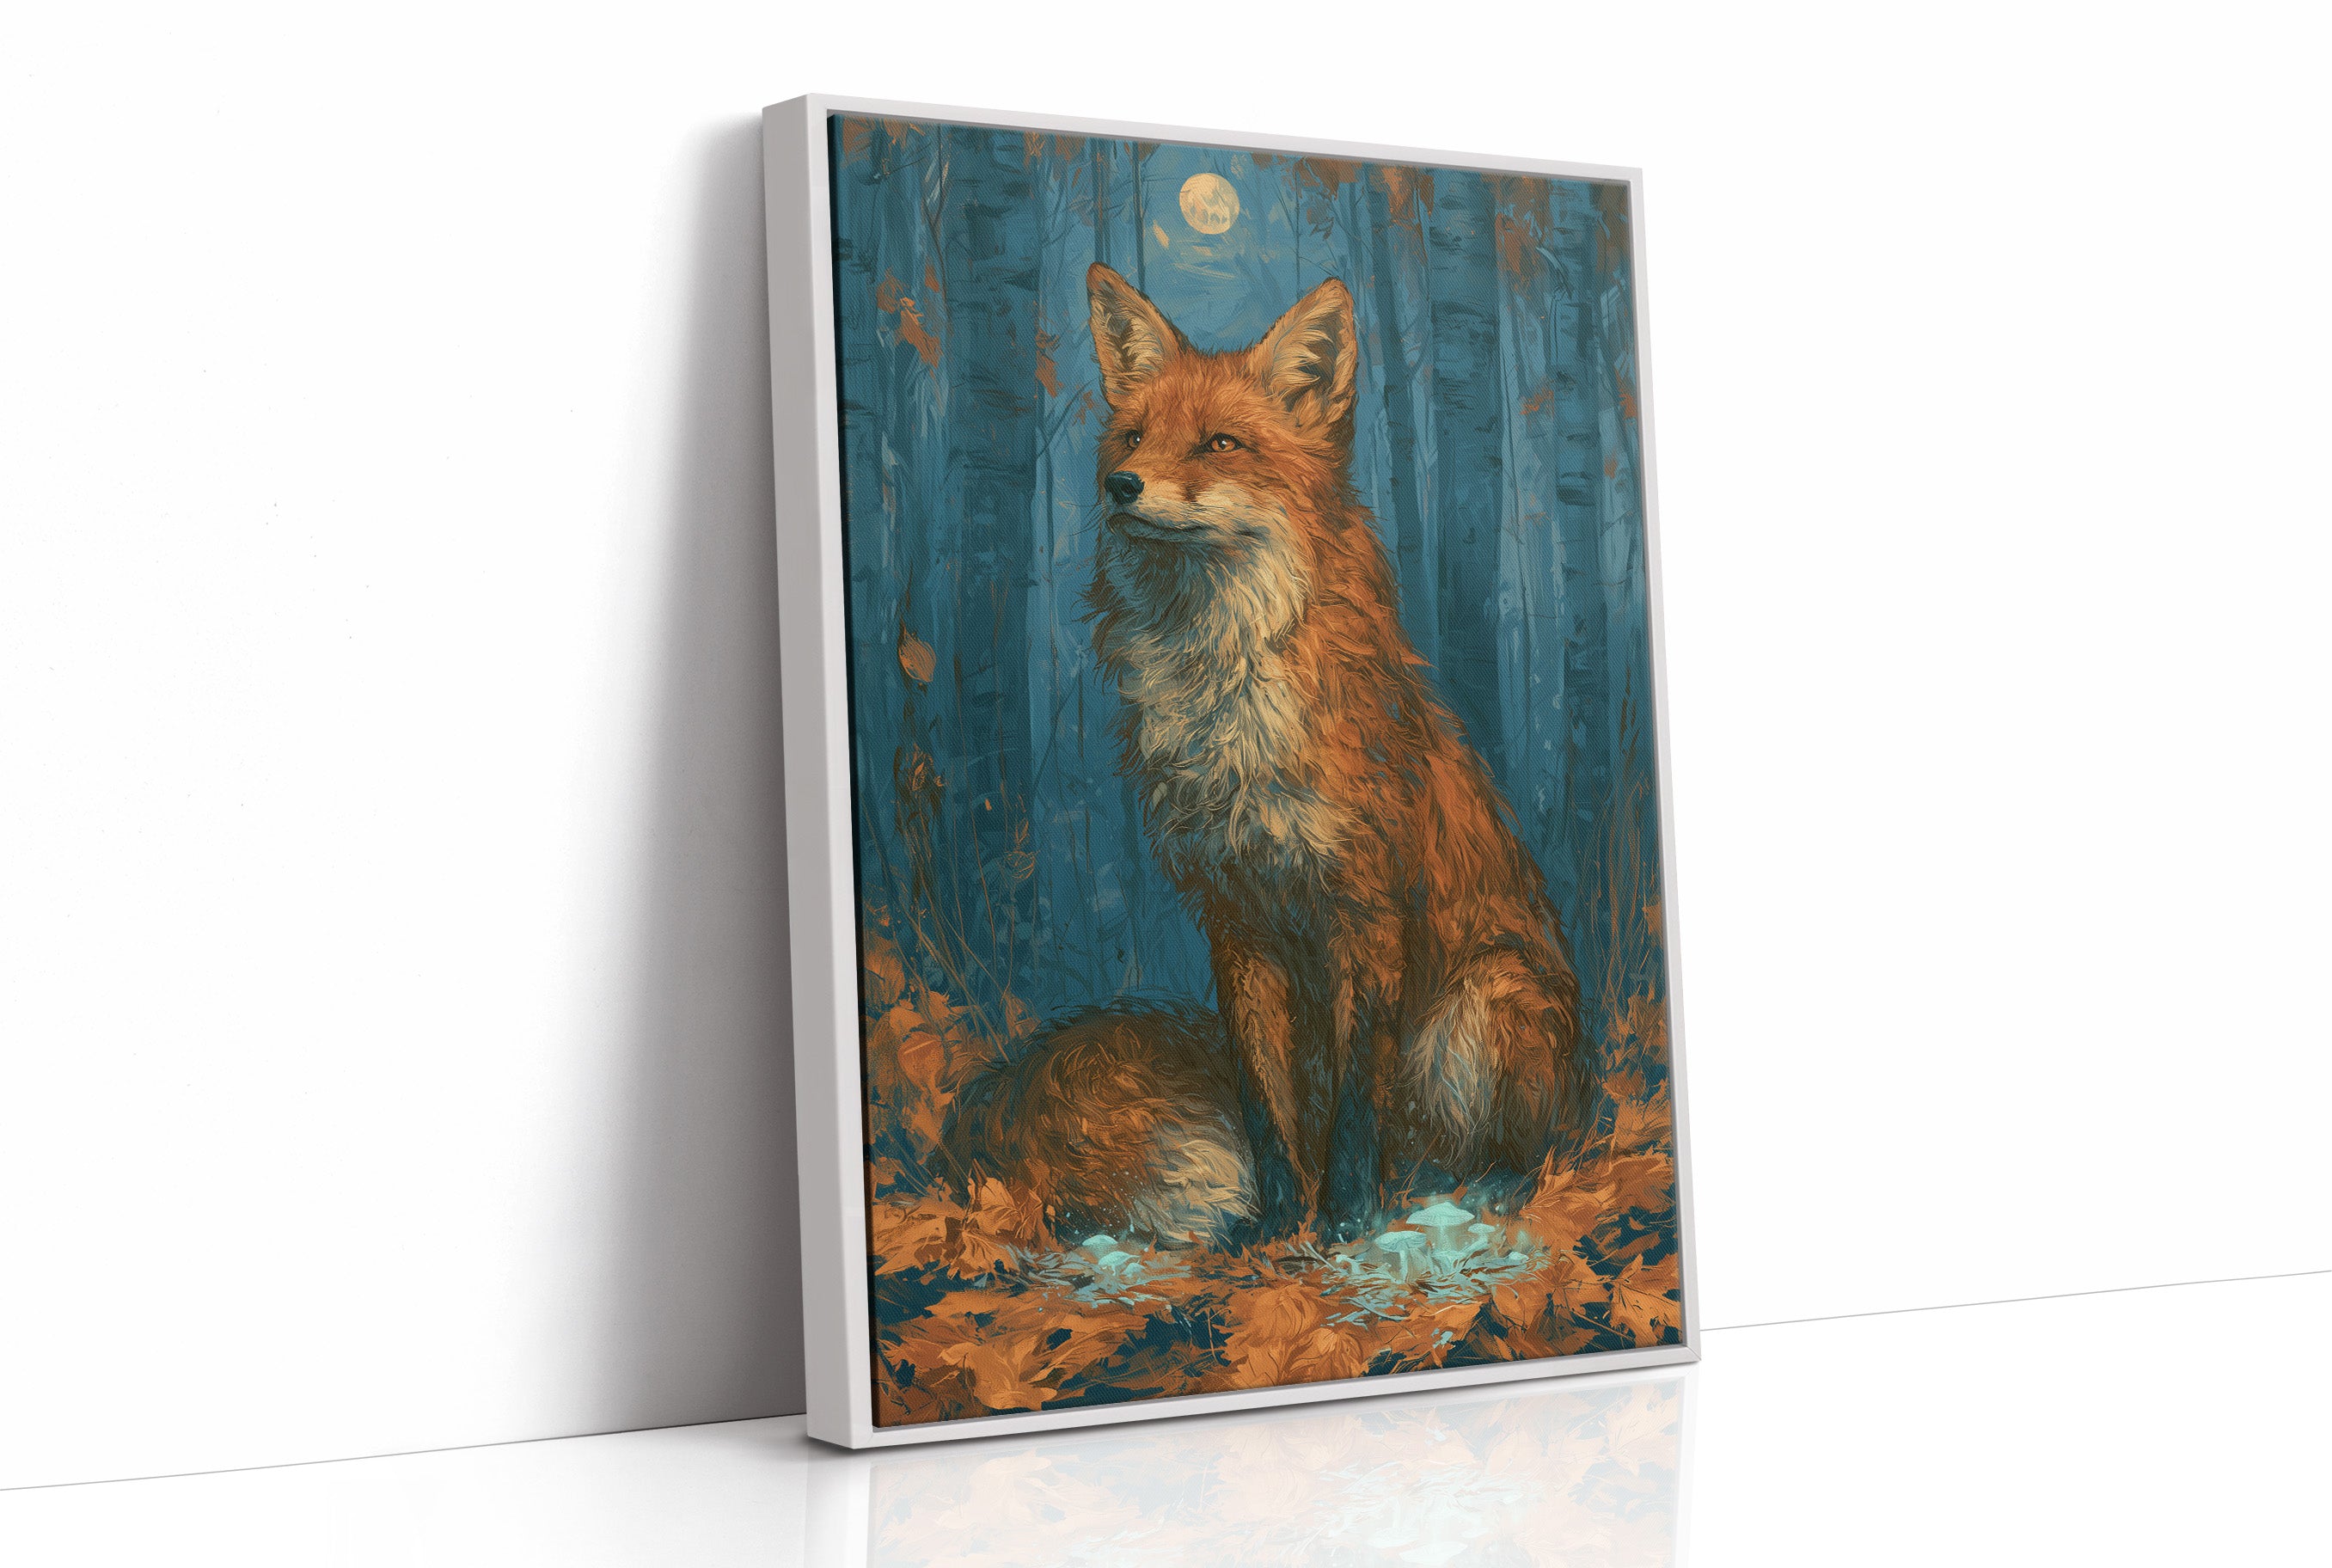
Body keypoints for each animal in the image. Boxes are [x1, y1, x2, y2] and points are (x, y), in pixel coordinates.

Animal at [944, 264, 1590, 1245]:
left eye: (1220, 443)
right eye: (1134, 436)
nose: (1121, 485)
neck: (1225, 701)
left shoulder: (1364, 914)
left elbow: (1357, 1097)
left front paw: (1346, 1215)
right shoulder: (1235, 920)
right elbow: (1263, 1098)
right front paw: (1280, 1220)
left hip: (1482, 1003)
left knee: (1520, 1152)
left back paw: (1472, 1191)